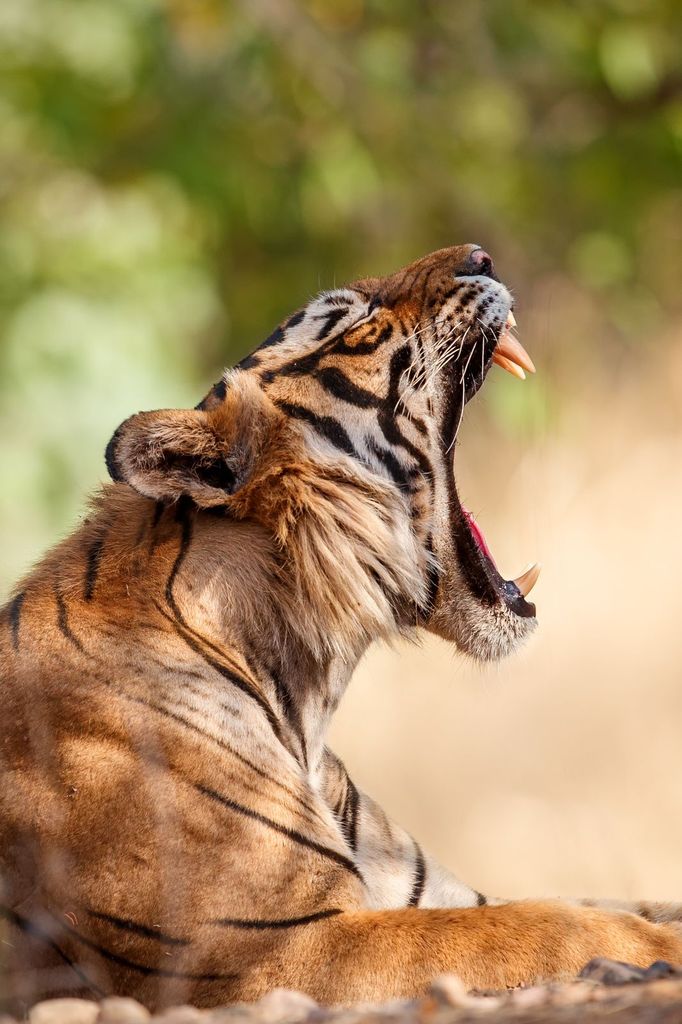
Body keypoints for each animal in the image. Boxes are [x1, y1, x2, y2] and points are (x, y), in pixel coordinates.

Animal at [1, 241, 679, 1015]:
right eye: (353, 322)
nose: (482, 254)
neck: (310, 685)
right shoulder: (283, 948)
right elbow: (555, 925)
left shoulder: (427, 892)